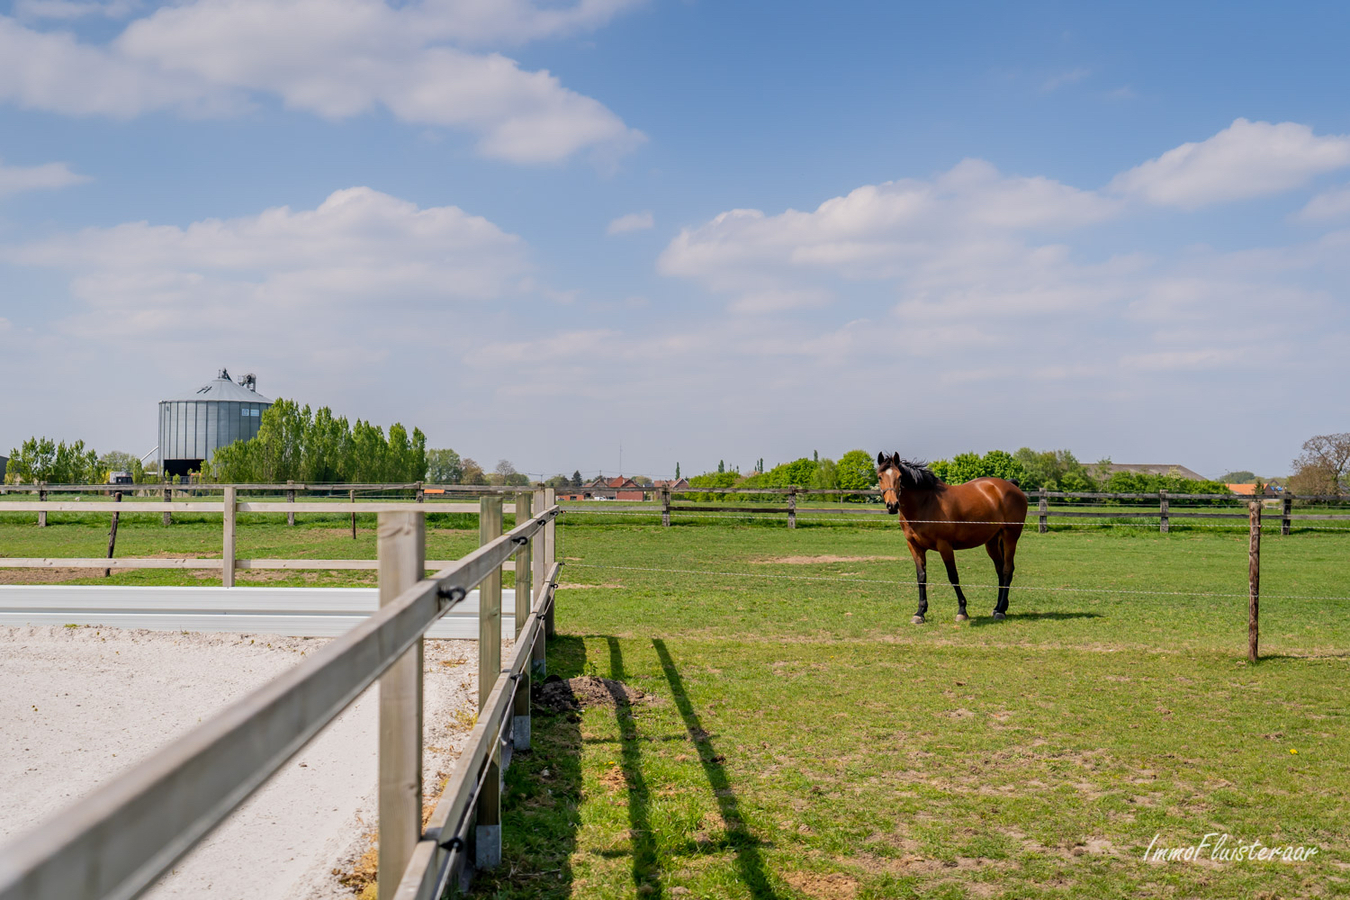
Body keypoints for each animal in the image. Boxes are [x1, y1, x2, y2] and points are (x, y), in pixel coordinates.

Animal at [874, 453, 1020, 623]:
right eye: (880, 477)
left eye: (900, 477)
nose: (892, 505)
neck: (925, 504)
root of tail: (1011, 486)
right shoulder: (915, 546)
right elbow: (921, 577)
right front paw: (920, 613)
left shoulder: (945, 546)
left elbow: (953, 576)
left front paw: (962, 610)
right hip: (992, 542)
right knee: (1000, 570)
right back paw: (998, 607)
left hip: (1010, 537)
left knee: (1007, 570)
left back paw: (1001, 611)